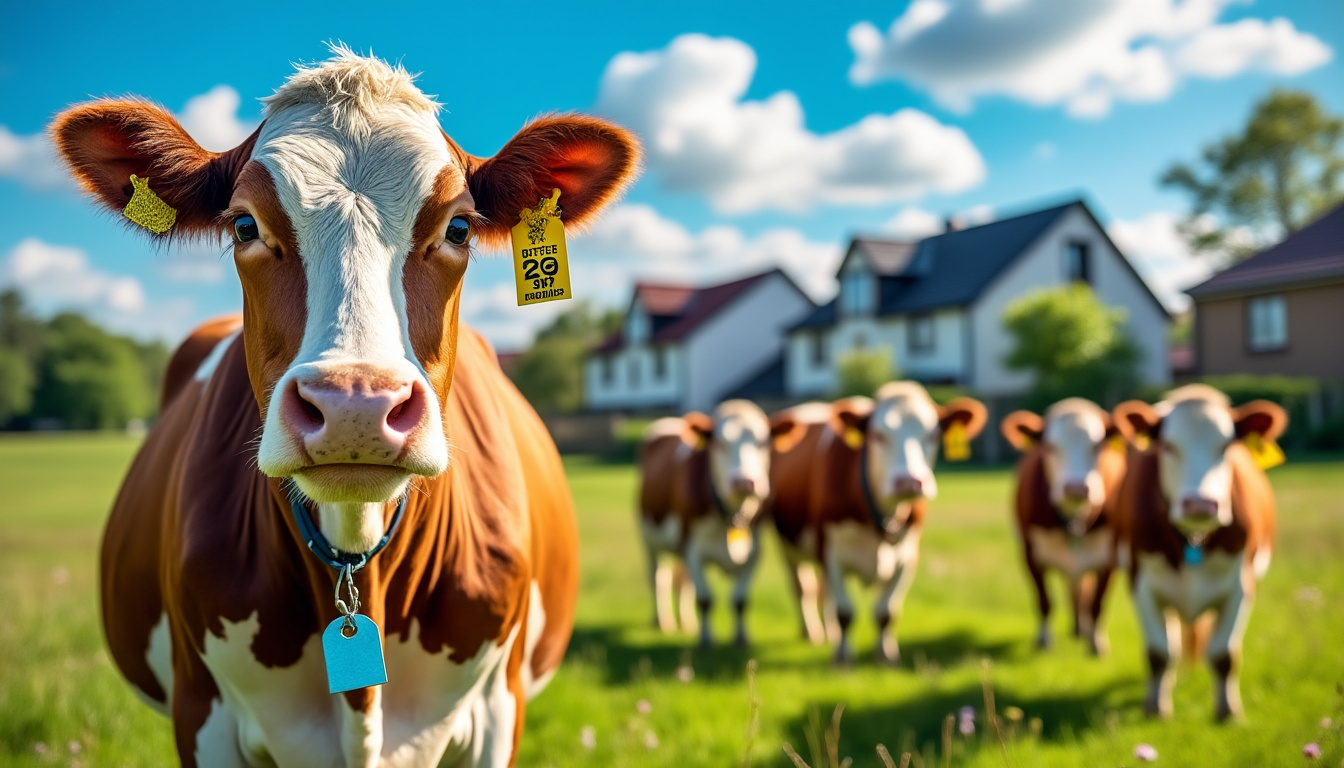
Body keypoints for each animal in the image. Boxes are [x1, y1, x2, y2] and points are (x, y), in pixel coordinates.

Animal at [637, 400, 785, 648]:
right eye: (718, 443)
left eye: (763, 442)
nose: (744, 482)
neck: (732, 516)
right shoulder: (693, 550)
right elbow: (705, 599)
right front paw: (705, 641)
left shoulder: (754, 553)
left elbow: (740, 600)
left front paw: (741, 638)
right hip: (649, 541)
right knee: (659, 579)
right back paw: (663, 622)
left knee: (683, 582)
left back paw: (686, 622)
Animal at [769, 383, 987, 664]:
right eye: (877, 435)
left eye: (933, 436)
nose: (909, 481)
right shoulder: (829, 552)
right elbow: (845, 611)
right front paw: (843, 658)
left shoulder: (907, 556)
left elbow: (886, 611)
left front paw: (886, 655)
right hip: (788, 546)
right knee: (802, 588)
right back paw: (812, 633)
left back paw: (829, 633)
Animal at [1001, 399, 1126, 656]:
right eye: (1050, 447)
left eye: (1098, 446)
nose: (1076, 487)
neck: (1074, 521)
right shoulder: (1030, 554)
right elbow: (1044, 600)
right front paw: (1043, 640)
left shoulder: (1111, 557)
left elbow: (1097, 602)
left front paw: (1096, 643)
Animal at [1112, 385, 1286, 721]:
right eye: (1168, 445)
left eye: (1226, 446)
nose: (1201, 504)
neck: (1192, 539)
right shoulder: (1140, 584)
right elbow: (1158, 652)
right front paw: (1155, 707)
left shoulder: (1241, 587)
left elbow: (1223, 654)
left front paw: (1228, 711)